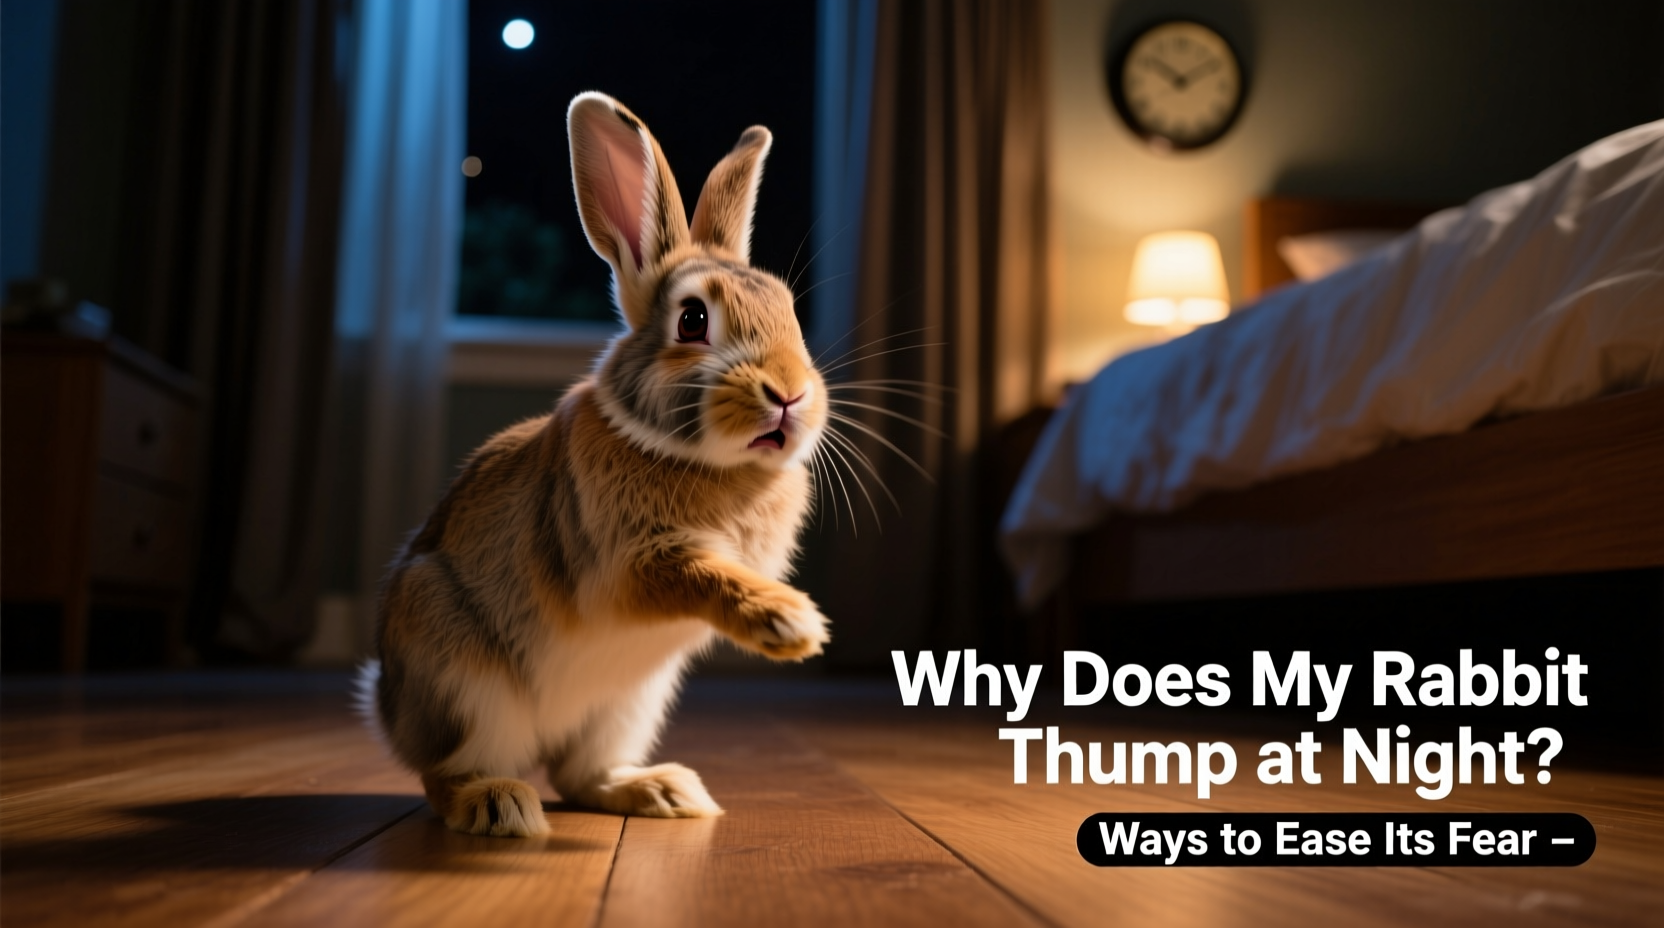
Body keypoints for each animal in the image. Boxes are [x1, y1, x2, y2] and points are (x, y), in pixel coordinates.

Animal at [358, 92, 830, 837]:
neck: (704, 462)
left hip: (628, 706)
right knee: (447, 773)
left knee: (582, 775)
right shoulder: (628, 562)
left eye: (788, 312)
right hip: (462, 680)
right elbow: (703, 575)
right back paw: (498, 806)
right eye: (693, 320)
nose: (789, 394)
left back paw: (663, 792)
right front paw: (790, 624)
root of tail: (387, 709)